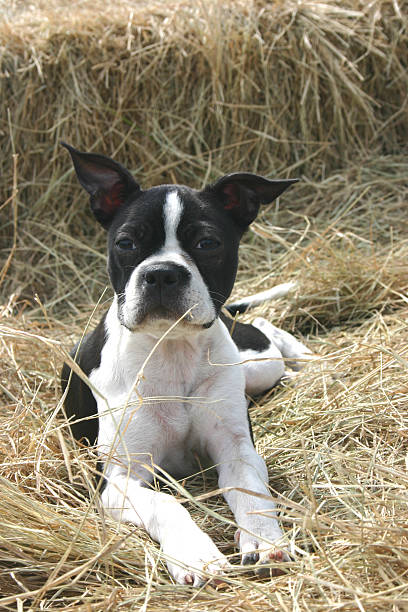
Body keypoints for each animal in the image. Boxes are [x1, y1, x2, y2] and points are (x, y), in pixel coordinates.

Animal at [60, 145, 310, 588]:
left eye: (207, 242)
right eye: (126, 242)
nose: (162, 274)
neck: (171, 350)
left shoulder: (237, 451)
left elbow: (252, 493)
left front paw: (265, 540)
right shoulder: (119, 480)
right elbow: (166, 505)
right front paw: (196, 556)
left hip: (254, 363)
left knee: (265, 328)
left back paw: (303, 360)